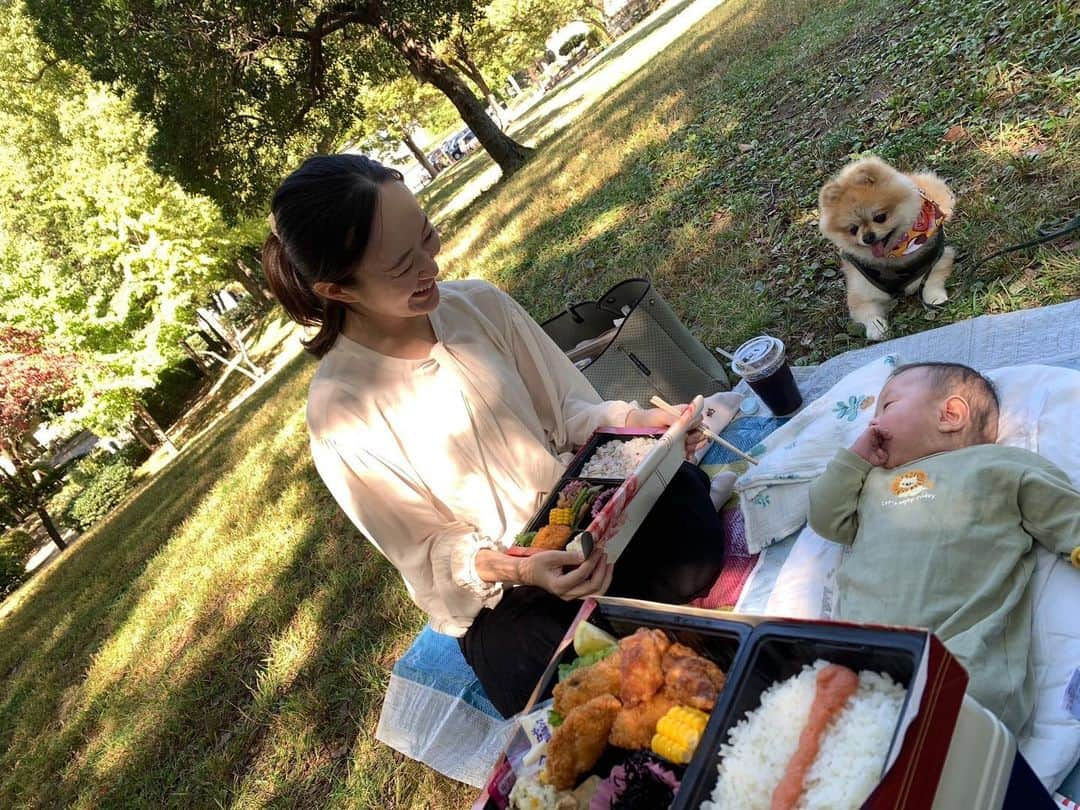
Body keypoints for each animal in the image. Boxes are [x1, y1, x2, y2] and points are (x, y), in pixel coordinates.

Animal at [816, 156, 954, 341]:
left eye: (880, 217)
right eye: (853, 229)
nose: (868, 237)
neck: (893, 256)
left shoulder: (938, 259)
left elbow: (930, 281)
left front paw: (934, 298)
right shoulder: (860, 290)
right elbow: (866, 311)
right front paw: (877, 328)